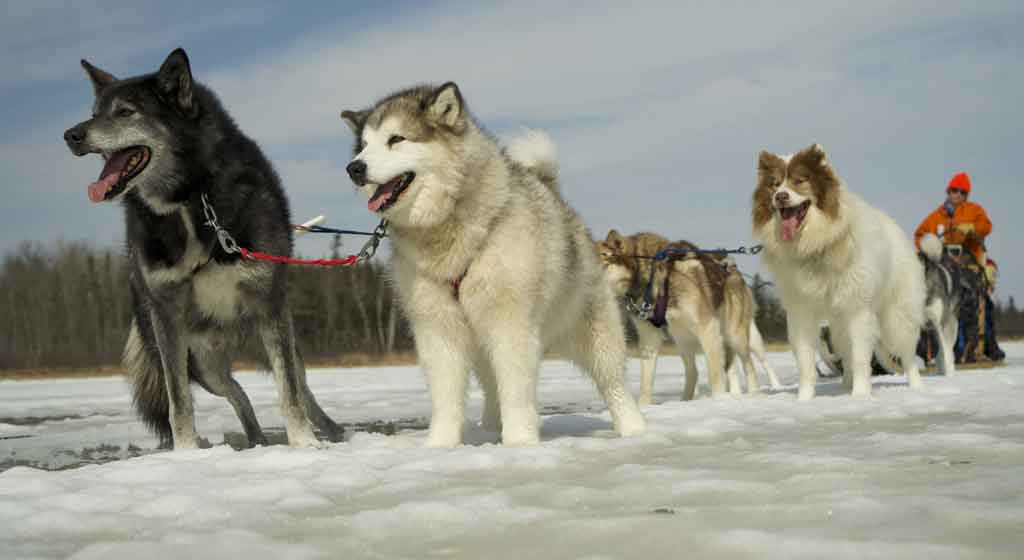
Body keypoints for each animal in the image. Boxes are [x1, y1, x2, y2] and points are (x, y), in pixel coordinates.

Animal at [64, 49, 339, 450]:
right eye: (94, 111)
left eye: (125, 111)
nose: (71, 135)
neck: (190, 199)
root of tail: (233, 340)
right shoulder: (167, 318)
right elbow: (178, 403)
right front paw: (186, 451)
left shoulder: (269, 303)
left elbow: (290, 393)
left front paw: (304, 444)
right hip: (205, 365)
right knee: (238, 393)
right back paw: (255, 439)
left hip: (276, 337)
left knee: (301, 388)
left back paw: (331, 431)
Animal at [339, 83, 643, 446]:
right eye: (364, 145)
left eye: (396, 139)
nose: (354, 168)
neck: (448, 228)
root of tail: (551, 190)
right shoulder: (437, 328)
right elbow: (446, 397)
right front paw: (440, 446)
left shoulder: (510, 323)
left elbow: (516, 392)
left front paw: (520, 443)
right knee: (492, 386)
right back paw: (490, 427)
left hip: (594, 333)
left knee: (613, 383)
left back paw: (633, 429)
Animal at [598, 228, 778, 403]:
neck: (653, 276)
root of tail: (733, 267)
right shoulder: (649, 338)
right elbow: (646, 385)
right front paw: (644, 408)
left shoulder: (707, 327)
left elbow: (715, 375)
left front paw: (719, 400)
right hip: (684, 339)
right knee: (697, 372)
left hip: (736, 336)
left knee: (751, 365)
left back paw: (758, 392)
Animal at [753, 144, 929, 399]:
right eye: (774, 184)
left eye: (800, 180)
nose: (780, 197)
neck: (813, 246)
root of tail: (896, 229)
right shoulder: (801, 312)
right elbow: (806, 361)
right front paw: (804, 399)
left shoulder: (858, 309)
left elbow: (861, 357)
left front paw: (860, 396)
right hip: (838, 324)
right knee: (845, 354)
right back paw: (845, 385)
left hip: (897, 315)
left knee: (907, 354)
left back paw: (916, 387)